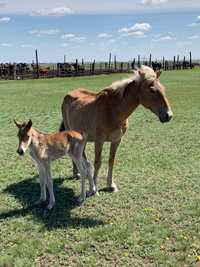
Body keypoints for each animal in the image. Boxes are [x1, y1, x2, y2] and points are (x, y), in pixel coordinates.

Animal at [60, 66, 173, 194]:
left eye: (163, 88)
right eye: (152, 90)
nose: (168, 115)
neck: (113, 111)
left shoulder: (116, 140)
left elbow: (111, 161)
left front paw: (110, 185)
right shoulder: (99, 141)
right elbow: (97, 162)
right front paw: (94, 187)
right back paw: (78, 174)